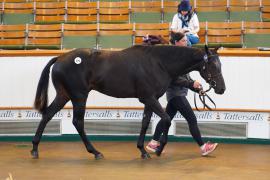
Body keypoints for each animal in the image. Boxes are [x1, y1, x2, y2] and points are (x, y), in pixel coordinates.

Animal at [31, 44, 226, 159]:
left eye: (220, 65)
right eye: (212, 65)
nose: (221, 89)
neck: (159, 63)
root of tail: (60, 58)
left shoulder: (150, 99)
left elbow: (146, 122)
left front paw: (143, 150)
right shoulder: (148, 98)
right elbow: (166, 119)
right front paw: (159, 149)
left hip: (64, 95)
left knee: (47, 115)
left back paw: (35, 148)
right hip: (79, 96)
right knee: (77, 122)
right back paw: (95, 152)